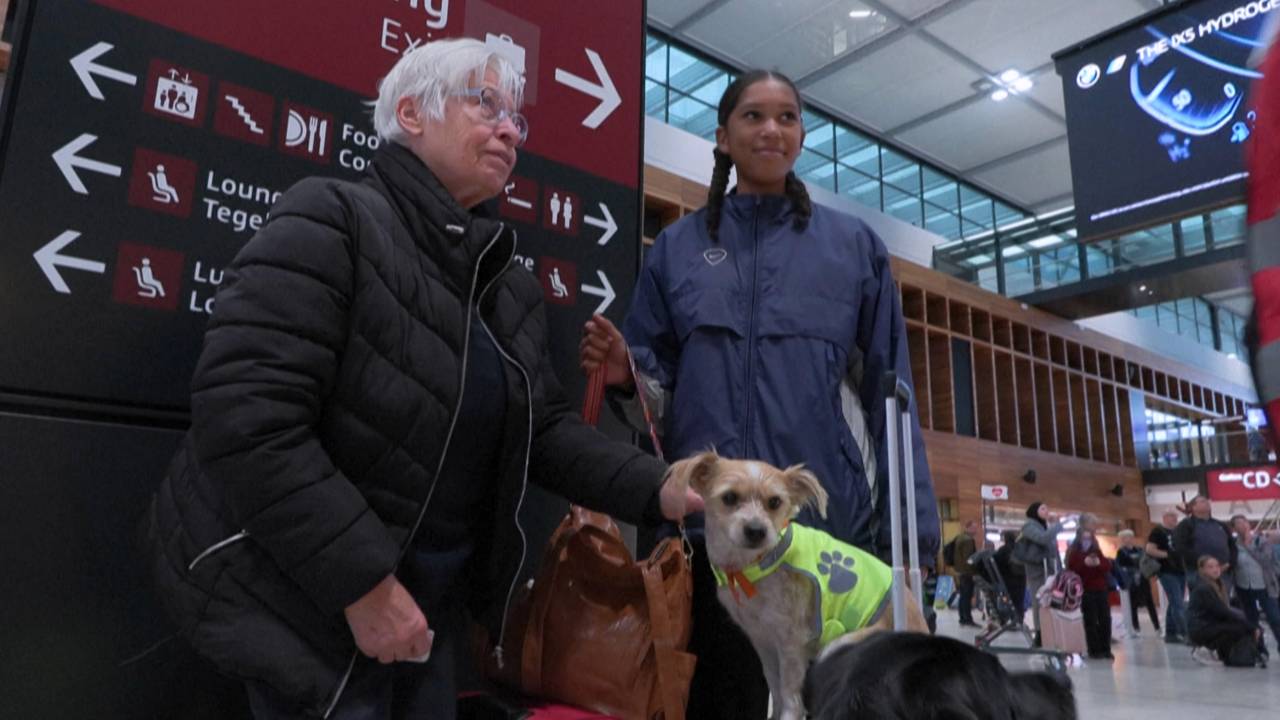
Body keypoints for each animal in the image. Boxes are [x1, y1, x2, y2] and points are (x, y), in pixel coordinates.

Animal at [665, 448, 926, 717]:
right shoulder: (764, 641)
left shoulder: (791, 643)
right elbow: (775, 687)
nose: (756, 530)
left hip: (840, 644)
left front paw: (788, 716)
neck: (755, 565)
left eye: (774, 502)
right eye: (729, 497)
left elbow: (790, 695)